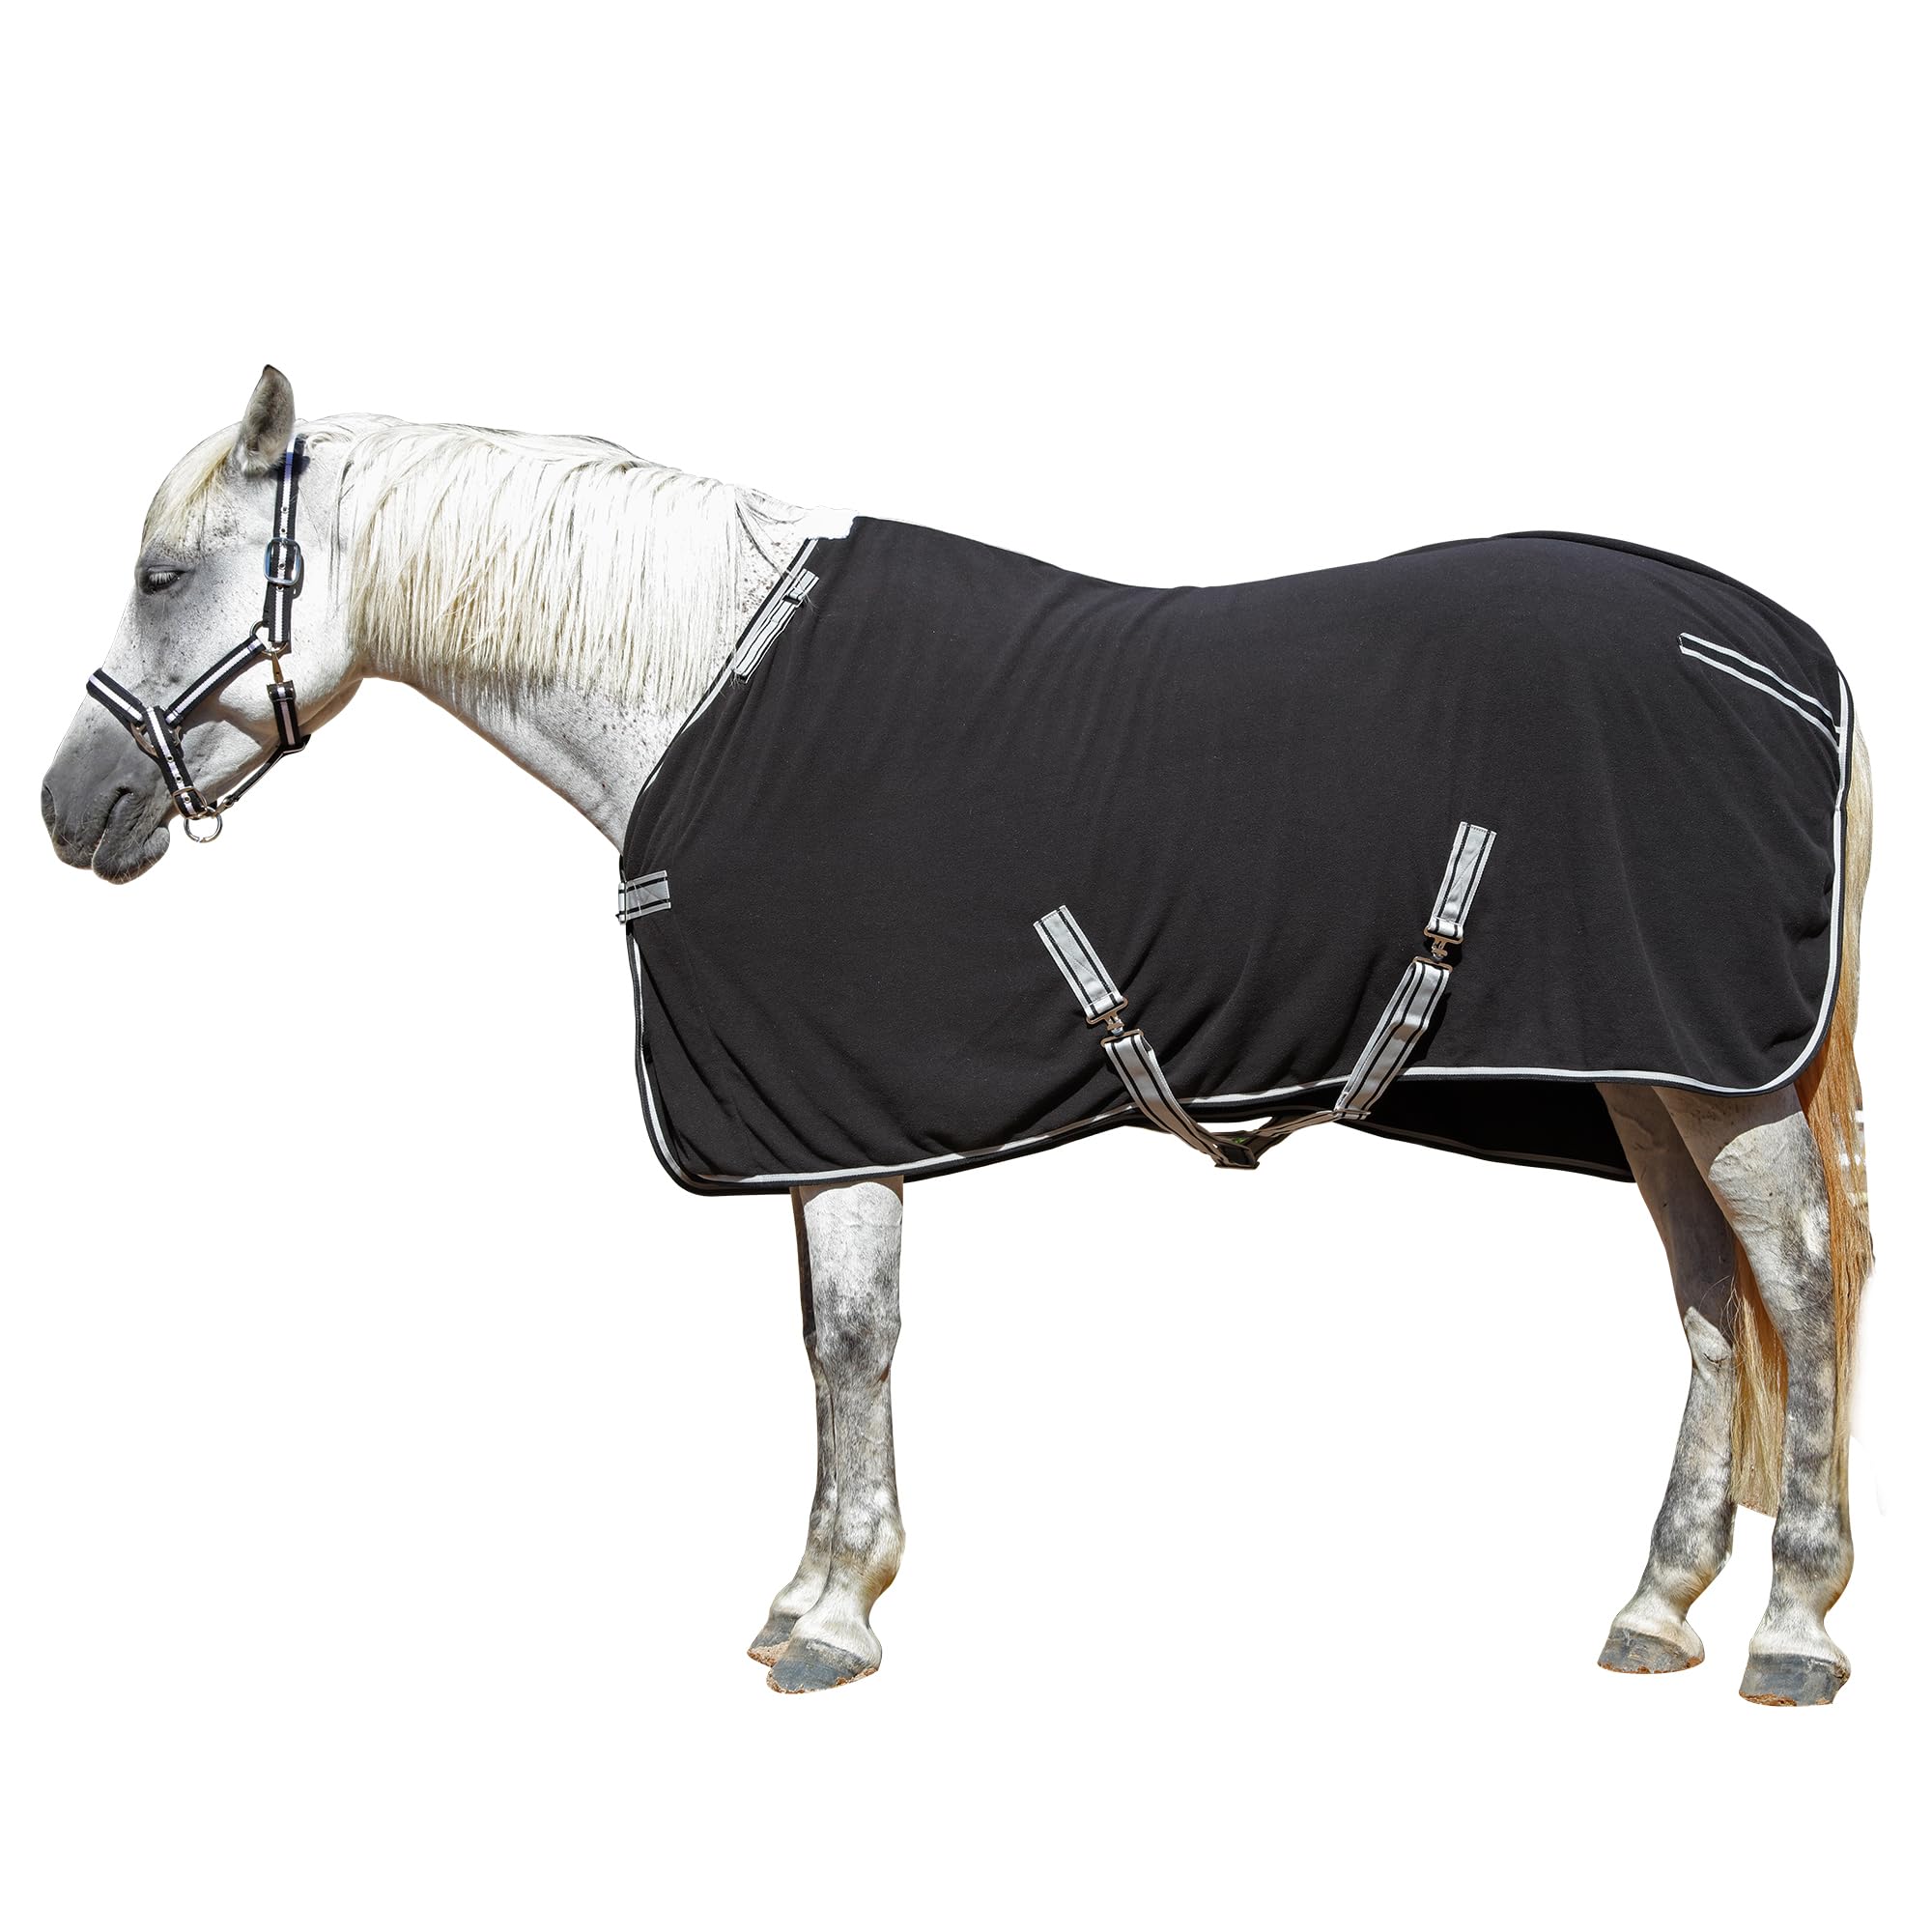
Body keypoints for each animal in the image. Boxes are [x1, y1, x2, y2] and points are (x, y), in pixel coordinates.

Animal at [41, 366, 1874, 1702]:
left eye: (158, 573)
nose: (71, 809)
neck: (699, 682)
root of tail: (1789, 655)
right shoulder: (816, 1119)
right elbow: (823, 1343)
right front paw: (809, 1588)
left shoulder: (836, 1114)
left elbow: (851, 1344)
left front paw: (833, 1618)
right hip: (1646, 1077)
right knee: (1708, 1297)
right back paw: (1655, 1606)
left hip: (1714, 1079)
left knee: (1794, 1287)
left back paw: (1793, 1629)